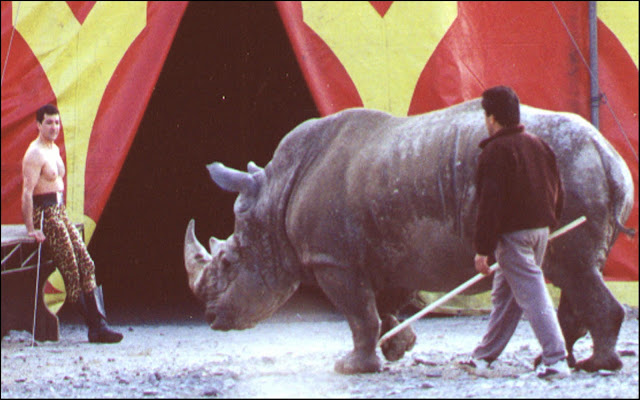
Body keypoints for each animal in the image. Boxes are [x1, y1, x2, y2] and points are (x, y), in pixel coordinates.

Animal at [184, 98, 635, 374]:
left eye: (228, 262)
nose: (211, 319)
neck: (274, 198)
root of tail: (606, 153)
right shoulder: (390, 250)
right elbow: (381, 306)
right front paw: (397, 348)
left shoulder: (333, 260)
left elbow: (359, 312)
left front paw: (352, 367)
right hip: (575, 174)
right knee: (575, 271)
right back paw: (558, 359)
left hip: (571, 173)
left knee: (573, 270)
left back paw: (596, 364)